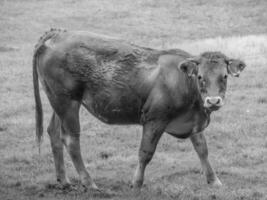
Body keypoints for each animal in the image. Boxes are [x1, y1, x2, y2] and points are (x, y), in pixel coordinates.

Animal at [33, 28, 247, 191]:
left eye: (224, 76)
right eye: (200, 77)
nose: (213, 101)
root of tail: (56, 33)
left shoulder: (192, 120)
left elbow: (202, 149)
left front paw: (214, 180)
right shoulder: (154, 120)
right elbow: (145, 153)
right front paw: (136, 183)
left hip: (60, 101)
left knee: (54, 132)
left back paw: (64, 180)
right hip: (67, 102)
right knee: (71, 140)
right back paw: (89, 182)